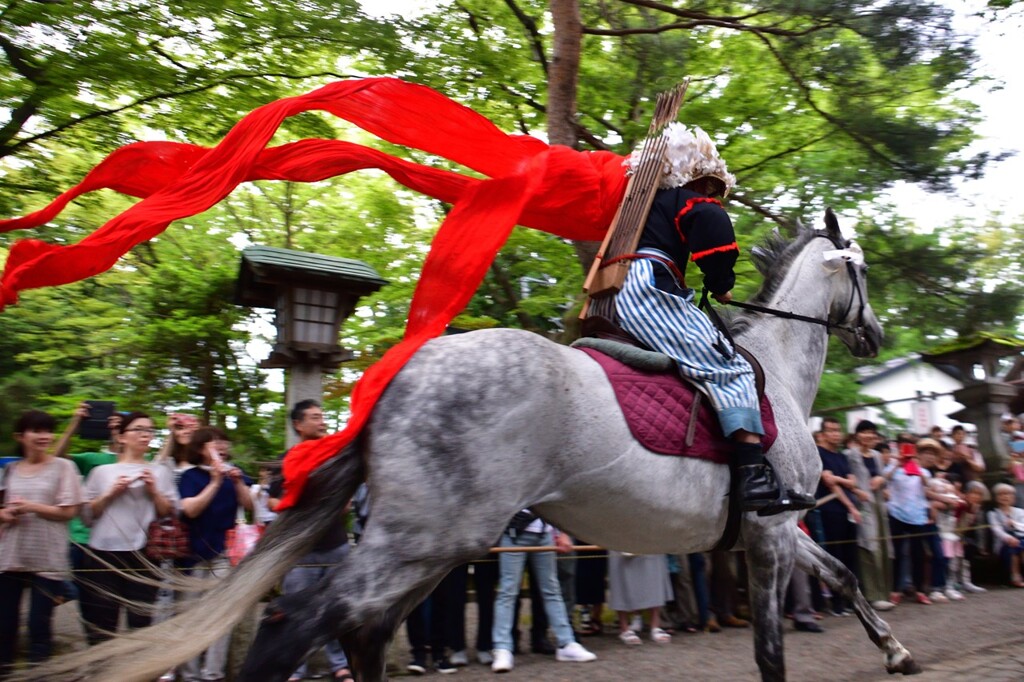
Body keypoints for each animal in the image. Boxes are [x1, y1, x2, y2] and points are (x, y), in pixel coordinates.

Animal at [16, 209, 917, 675]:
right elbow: (770, 646)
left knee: (360, 623)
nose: (874, 332)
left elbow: (842, 575)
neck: (776, 373)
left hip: (436, 540)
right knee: (313, 613)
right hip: (428, 535)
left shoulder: (782, 529)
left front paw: (897, 651)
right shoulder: (768, 533)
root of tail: (400, 377)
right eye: (862, 272)